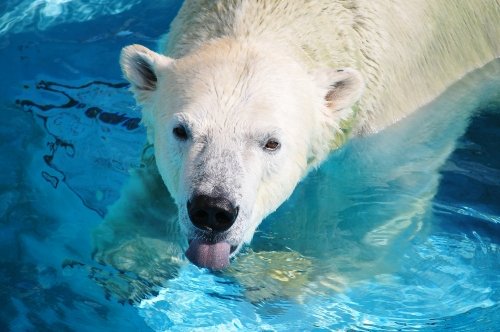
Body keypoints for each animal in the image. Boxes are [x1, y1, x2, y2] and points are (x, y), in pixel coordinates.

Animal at [108, 0, 496, 272]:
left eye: (271, 143)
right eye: (181, 131)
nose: (213, 211)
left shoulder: (400, 116)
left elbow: (377, 203)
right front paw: (130, 256)